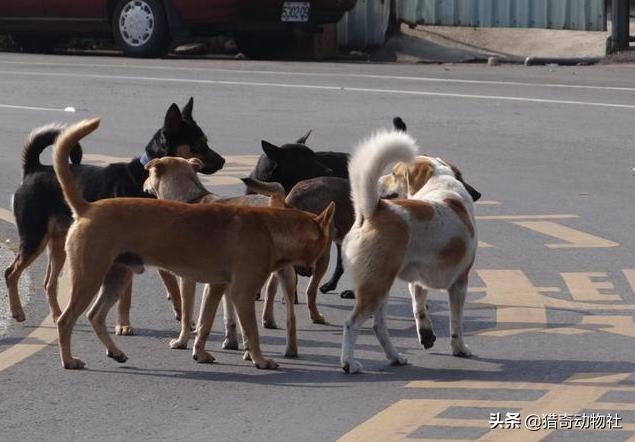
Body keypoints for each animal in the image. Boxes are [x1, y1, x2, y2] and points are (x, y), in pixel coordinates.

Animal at [3, 97, 224, 332]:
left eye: (206, 140)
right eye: (198, 143)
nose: (223, 161)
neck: (145, 178)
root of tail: (34, 169)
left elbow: (173, 285)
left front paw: (183, 317)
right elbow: (127, 297)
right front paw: (123, 325)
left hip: (58, 243)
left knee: (49, 282)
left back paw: (55, 315)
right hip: (34, 238)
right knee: (11, 272)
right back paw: (17, 311)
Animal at [143, 157, 302, 358]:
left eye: (148, 173)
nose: (143, 184)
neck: (190, 199)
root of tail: (275, 204)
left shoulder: (187, 280)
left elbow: (188, 315)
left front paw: (182, 341)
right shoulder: (224, 282)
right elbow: (229, 315)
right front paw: (230, 341)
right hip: (287, 277)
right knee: (291, 317)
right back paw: (290, 349)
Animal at [340, 130, 480, 372]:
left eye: (395, 174)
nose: (380, 181)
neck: (441, 185)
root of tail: (374, 210)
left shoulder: (417, 281)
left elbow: (419, 309)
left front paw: (426, 334)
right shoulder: (460, 282)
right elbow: (456, 323)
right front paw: (460, 349)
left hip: (381, 287)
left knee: (379, 326)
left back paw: (395, 357)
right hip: (375, 287)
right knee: (351, 324)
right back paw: (349, 363)